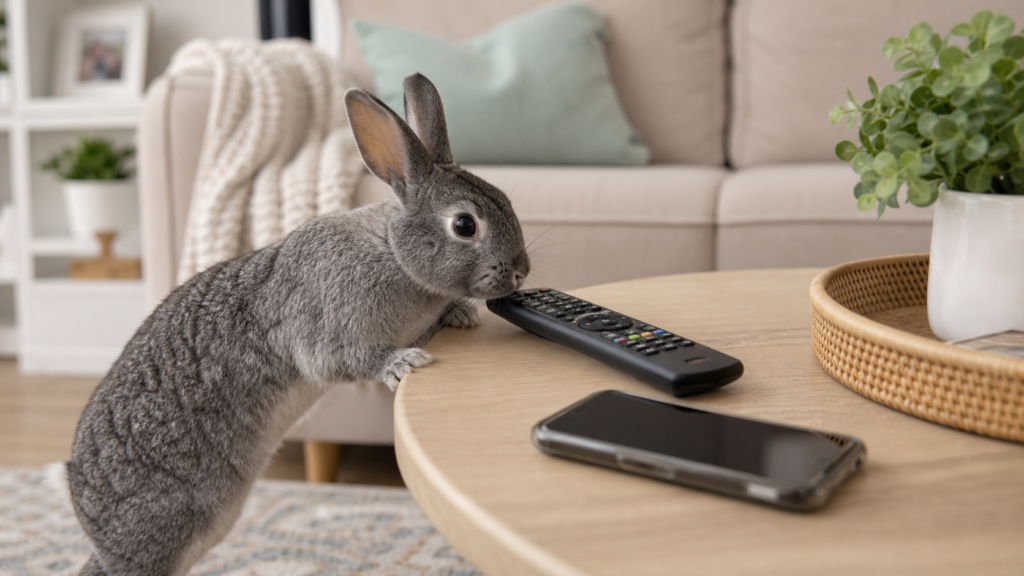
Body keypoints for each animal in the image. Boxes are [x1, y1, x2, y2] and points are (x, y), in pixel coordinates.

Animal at [52, 72, 531, 576]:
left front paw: (460, 313)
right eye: (464, 225)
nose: (522, 271)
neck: (394, 253)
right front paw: (403, 364)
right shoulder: (330, 327)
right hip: (156, 530)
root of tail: (79, 499)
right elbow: (352, 359)